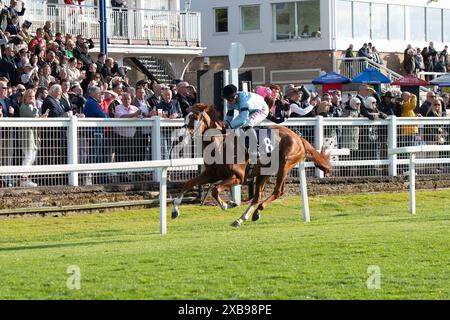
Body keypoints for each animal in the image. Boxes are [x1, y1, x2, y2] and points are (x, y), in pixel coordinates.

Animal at [172, 104, 330, 226]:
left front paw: (226, 204)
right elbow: (187, 184)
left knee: (277, 191)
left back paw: (256, 212)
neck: (220, 144)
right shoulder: (211, 174)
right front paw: (175, 210)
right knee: (257, 196)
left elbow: (215, 190)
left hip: (284, 166)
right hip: (263, 172)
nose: (179, 137)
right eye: (186, 117)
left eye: (194, 118)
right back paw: (242, 219)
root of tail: (298, 137)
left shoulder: (237, 177)